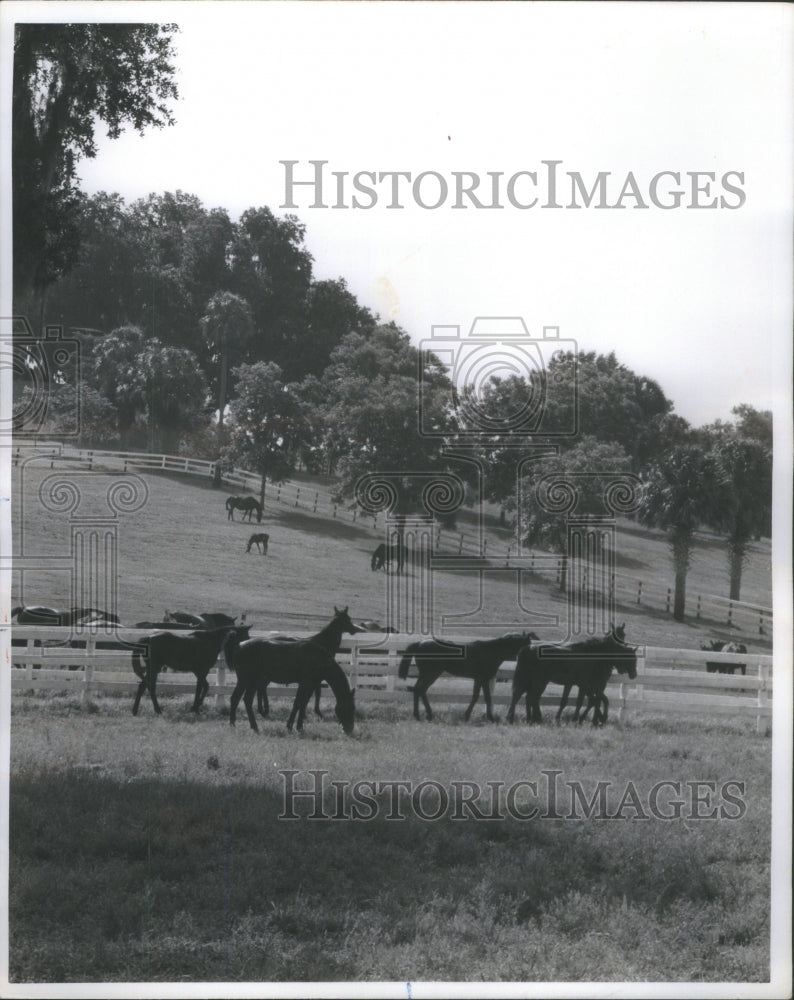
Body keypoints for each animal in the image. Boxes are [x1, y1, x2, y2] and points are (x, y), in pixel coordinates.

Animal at [226, 632, 356, 736]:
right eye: (350, 708)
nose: (349, 730)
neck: (318, 658)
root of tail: (238, 646)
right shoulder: (305, 683)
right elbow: (298, 703)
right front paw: (290, 726)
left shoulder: (310, 684)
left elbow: (303, 703)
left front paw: (299, 727)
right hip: (247, 680)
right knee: (241, 699)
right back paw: (244, 725)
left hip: (248, 682)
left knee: (240, 699)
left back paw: (242, 725)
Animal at [394, 632, 532, 720]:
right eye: (528, 644)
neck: (490, 651)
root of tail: (420, 643)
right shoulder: (481, 678)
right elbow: (478, 697)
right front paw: (469, 716)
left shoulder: (482, 679)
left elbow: (485, 697)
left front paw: (489, 717)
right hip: (431, 674)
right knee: (420, 689)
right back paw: (423, 715)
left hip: (426, 674)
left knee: (419, 690)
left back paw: (423, 714)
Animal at [508, 632, 636, 728]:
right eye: (632, 659)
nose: (634, 675)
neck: (591, 656)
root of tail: (528, 648)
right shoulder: (585, 684)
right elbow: (589, 701)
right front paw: (587, 719)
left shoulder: (579, 685)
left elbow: (587, 701)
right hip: (538, 681)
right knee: (529, 697)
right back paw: (527, 718)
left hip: (533, 680)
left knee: (523, 696)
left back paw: (525, 718)